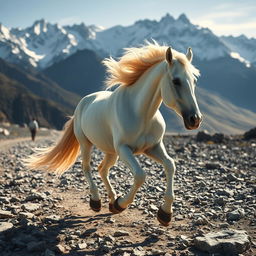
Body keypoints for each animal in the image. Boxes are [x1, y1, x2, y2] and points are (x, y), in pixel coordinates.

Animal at [26, 42, 202, 226]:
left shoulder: (153, 147)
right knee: (87, 168)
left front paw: (165, 213)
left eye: (194, 81)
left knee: (102, 169)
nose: (195, 120)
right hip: (87, 144)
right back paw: (96, 201)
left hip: (111, 152)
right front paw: (121, 204)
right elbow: (140, 175)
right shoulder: (124, 149)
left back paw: (111, 199)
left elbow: (170, 165)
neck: (140, 113)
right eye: (176, 81)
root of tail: (83, 102)